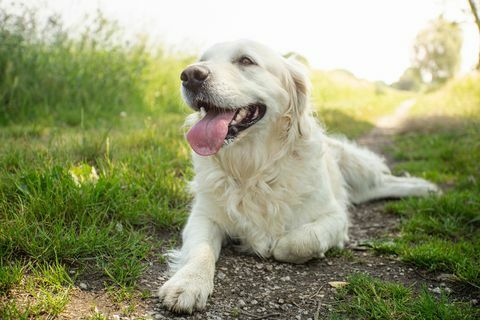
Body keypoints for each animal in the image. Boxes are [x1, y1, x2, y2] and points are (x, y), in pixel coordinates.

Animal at [158, 39, 438, 312]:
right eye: (203, 59)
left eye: (246, 60)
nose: (190, 75)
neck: (255, 169)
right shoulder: (203, 216)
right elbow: (200, 249)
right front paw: (188, 282)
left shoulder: (336, 217)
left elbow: (299, 241)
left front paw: (280, 245)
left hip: (356, 165)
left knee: (384, 181)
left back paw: (424, 187)